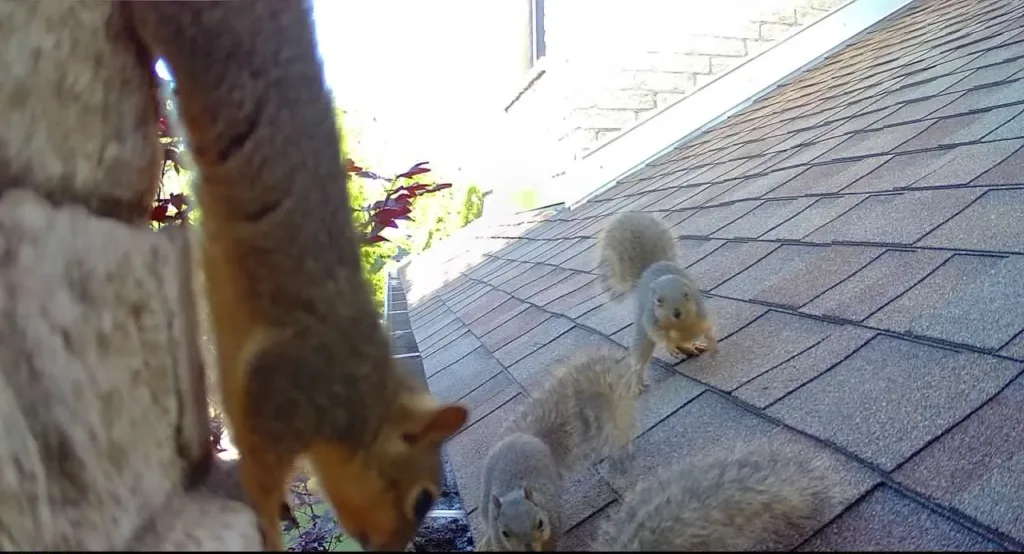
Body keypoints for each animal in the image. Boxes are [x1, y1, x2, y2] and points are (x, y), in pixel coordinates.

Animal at [121, 2, 472, 550]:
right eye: (421, 500)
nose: (396, 550)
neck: (362, 399)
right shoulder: (291, 383)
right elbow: (260, 469)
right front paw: (269, 522)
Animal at [479, 349, 640, 551]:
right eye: (505, 533)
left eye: (540, 523)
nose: (529, 549)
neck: (514, 493)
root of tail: (529, 437)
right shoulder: (498, 536)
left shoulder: (553, 519)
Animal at [598, 212, 717, 387]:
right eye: (658, 301)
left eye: (687, 295)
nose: (676, 313)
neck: (679, 324)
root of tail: (647, 271)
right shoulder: (651, 318)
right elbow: (659, 335)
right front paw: (669, 346)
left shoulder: (700, 312)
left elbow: (708, 328)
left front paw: (712, 344)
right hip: (642, 331)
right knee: (642, 352)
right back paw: (637, 379)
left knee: (683, 341)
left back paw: (691, 347)